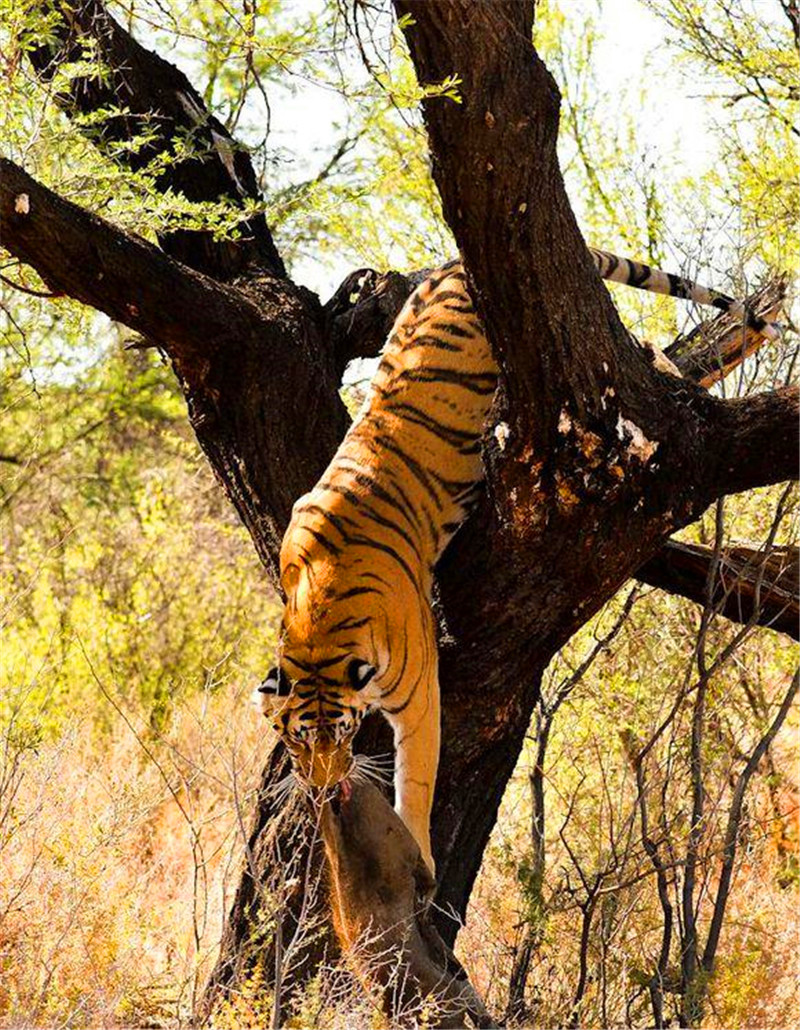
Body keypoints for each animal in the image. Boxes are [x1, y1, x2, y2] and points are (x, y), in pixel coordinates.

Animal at [257, 247, 778, 869]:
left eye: (338, 735)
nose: (323, 784)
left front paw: (420, 857)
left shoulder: (420, 696)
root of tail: (455, 263)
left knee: (643, 352)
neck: (319, 620)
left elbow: (418, 782)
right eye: (295, 739)